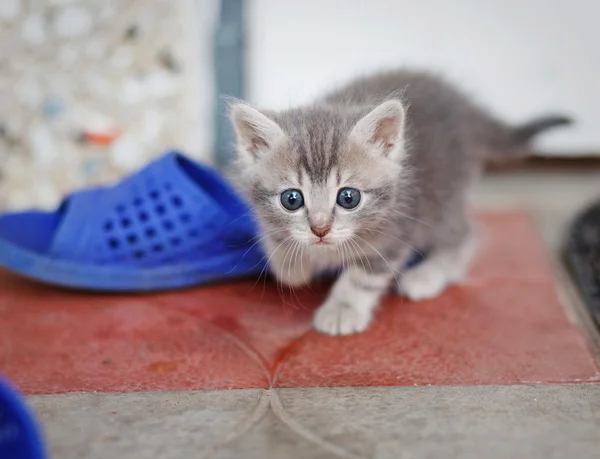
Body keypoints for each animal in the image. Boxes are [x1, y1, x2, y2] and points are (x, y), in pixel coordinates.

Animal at [229, 68, 572, 336]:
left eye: (348, 198)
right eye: (291, 199)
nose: (320, 229)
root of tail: (465, 107)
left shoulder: (396, 230)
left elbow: (362, 277)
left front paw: (343, 309)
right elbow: (275, 241)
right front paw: (292, 265)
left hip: (441, 202)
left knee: (468, 233)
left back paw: (428, 275)